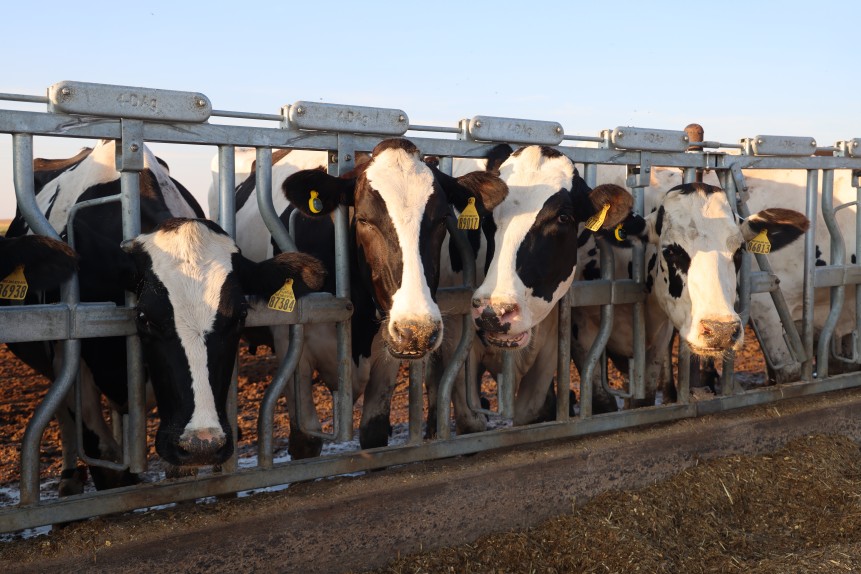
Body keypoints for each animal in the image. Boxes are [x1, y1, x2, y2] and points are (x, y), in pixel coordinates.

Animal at [5, 140, 326, 493]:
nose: (202, 444)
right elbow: (105, 464)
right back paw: (69, 477)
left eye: (241, 315)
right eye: (144, 318)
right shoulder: (70, 360)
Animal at [221, 138, 508, 458]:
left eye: (442, 219)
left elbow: (373, 431)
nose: (417, 331)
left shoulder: (387, 351)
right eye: (363, 219)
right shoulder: (291, 345)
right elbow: (305, 441)